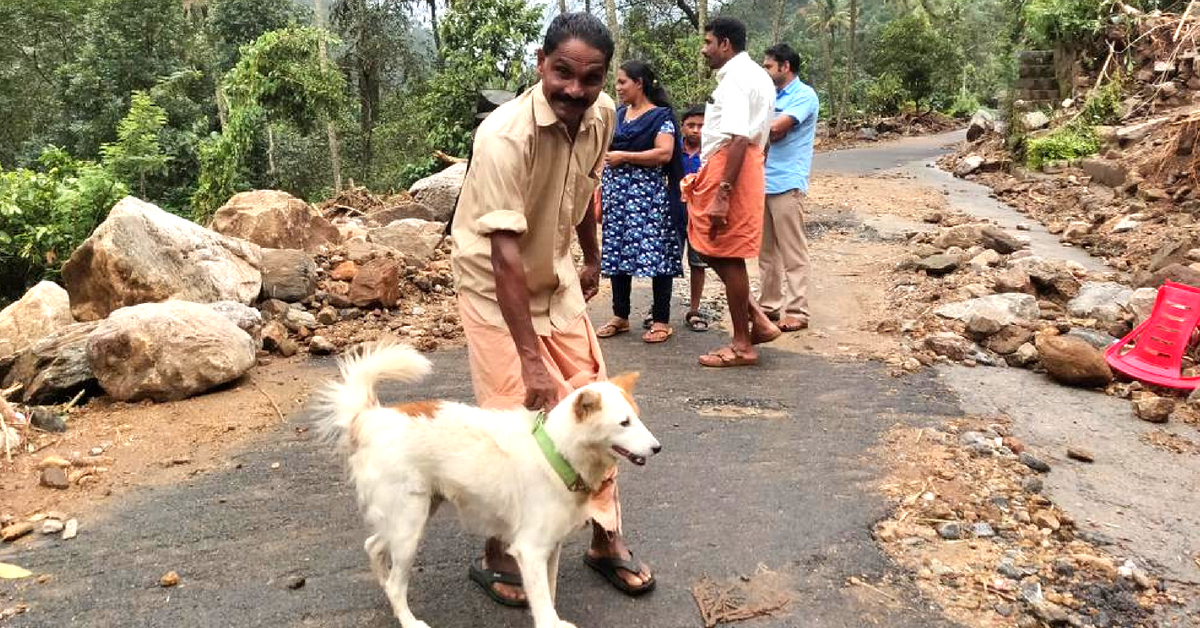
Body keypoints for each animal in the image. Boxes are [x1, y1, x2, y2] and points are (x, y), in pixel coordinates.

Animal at [314, 343, 662, 628]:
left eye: (638, 417)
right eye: (624, 423)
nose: (658, 448)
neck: (557, 452)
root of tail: (369, 418)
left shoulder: (551, 548)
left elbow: (548, 595)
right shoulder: (530, 551)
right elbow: (543, 607)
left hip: (412, 514)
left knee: (373, 547)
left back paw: (384, 586)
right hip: (408, 528)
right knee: (397, 585)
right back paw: (408, 619)